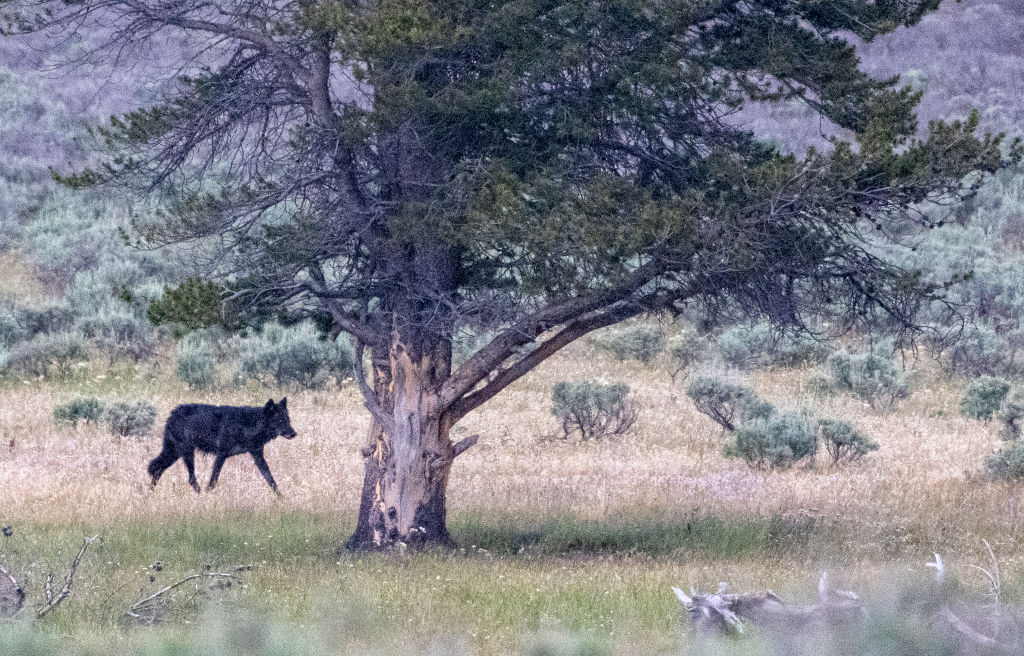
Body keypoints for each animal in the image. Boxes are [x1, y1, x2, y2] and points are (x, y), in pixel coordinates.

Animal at [147, 398, 297, 494]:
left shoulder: (258, 456)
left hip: (174, 454)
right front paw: (208, 495)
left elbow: (271, 479)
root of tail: (172, 414)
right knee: (189, 478)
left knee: (157, 470)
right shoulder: (221, 455)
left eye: (288, 420)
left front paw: (281, 498)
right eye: (280, 421)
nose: (294, 433)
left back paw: (150, 493)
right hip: (185, 453)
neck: (247, 425)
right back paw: (200, 495)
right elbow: (213, 480)